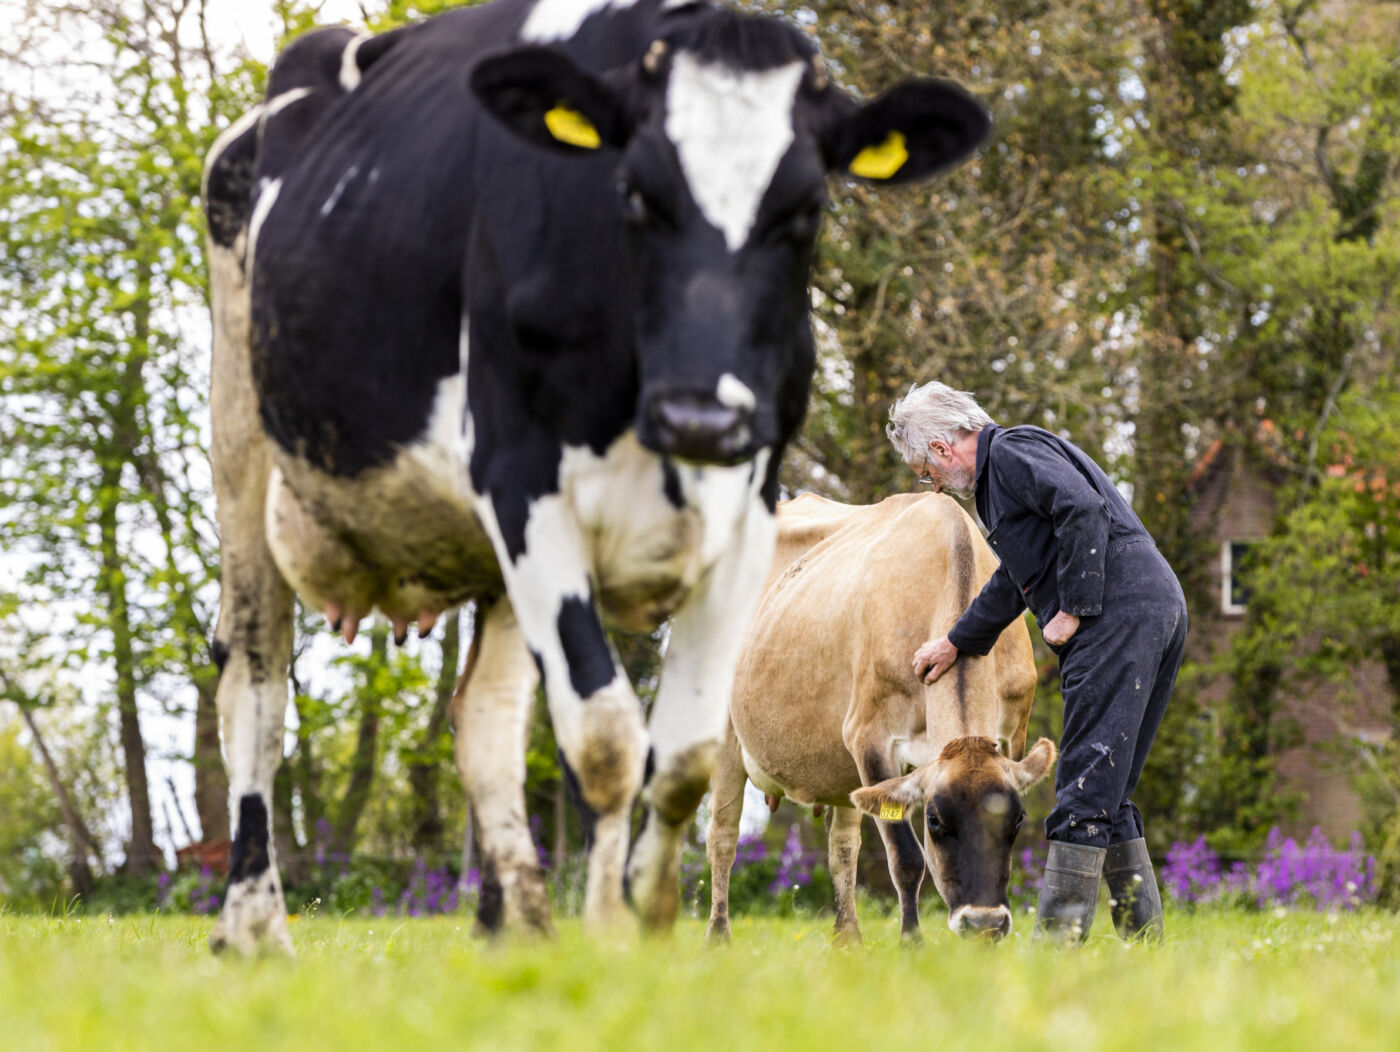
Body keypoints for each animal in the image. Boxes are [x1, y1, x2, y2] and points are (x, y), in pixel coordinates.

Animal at [201, 0, 991, 953]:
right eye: (635, 194)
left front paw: (646, 925)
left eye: (805, 208)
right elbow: (610, 737)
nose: (701, 417)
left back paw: (518, 925)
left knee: (483, 714)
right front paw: (614, 934)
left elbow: (677, 754)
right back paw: (253, 928)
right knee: (253, 683)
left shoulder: (744, 515)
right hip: (244, 448)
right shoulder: (525, 486)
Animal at [706, 492, 1052, 943]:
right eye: (934, 820)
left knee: (842, 845)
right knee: (722, 837)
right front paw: (912, 942)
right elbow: (905, 857)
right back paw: (718, 936)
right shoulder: (871, 738)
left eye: (1017, 818)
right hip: (725, 734)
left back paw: (848, 939)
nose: (983, 923)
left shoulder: (1013, 733)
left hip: (840, 766)